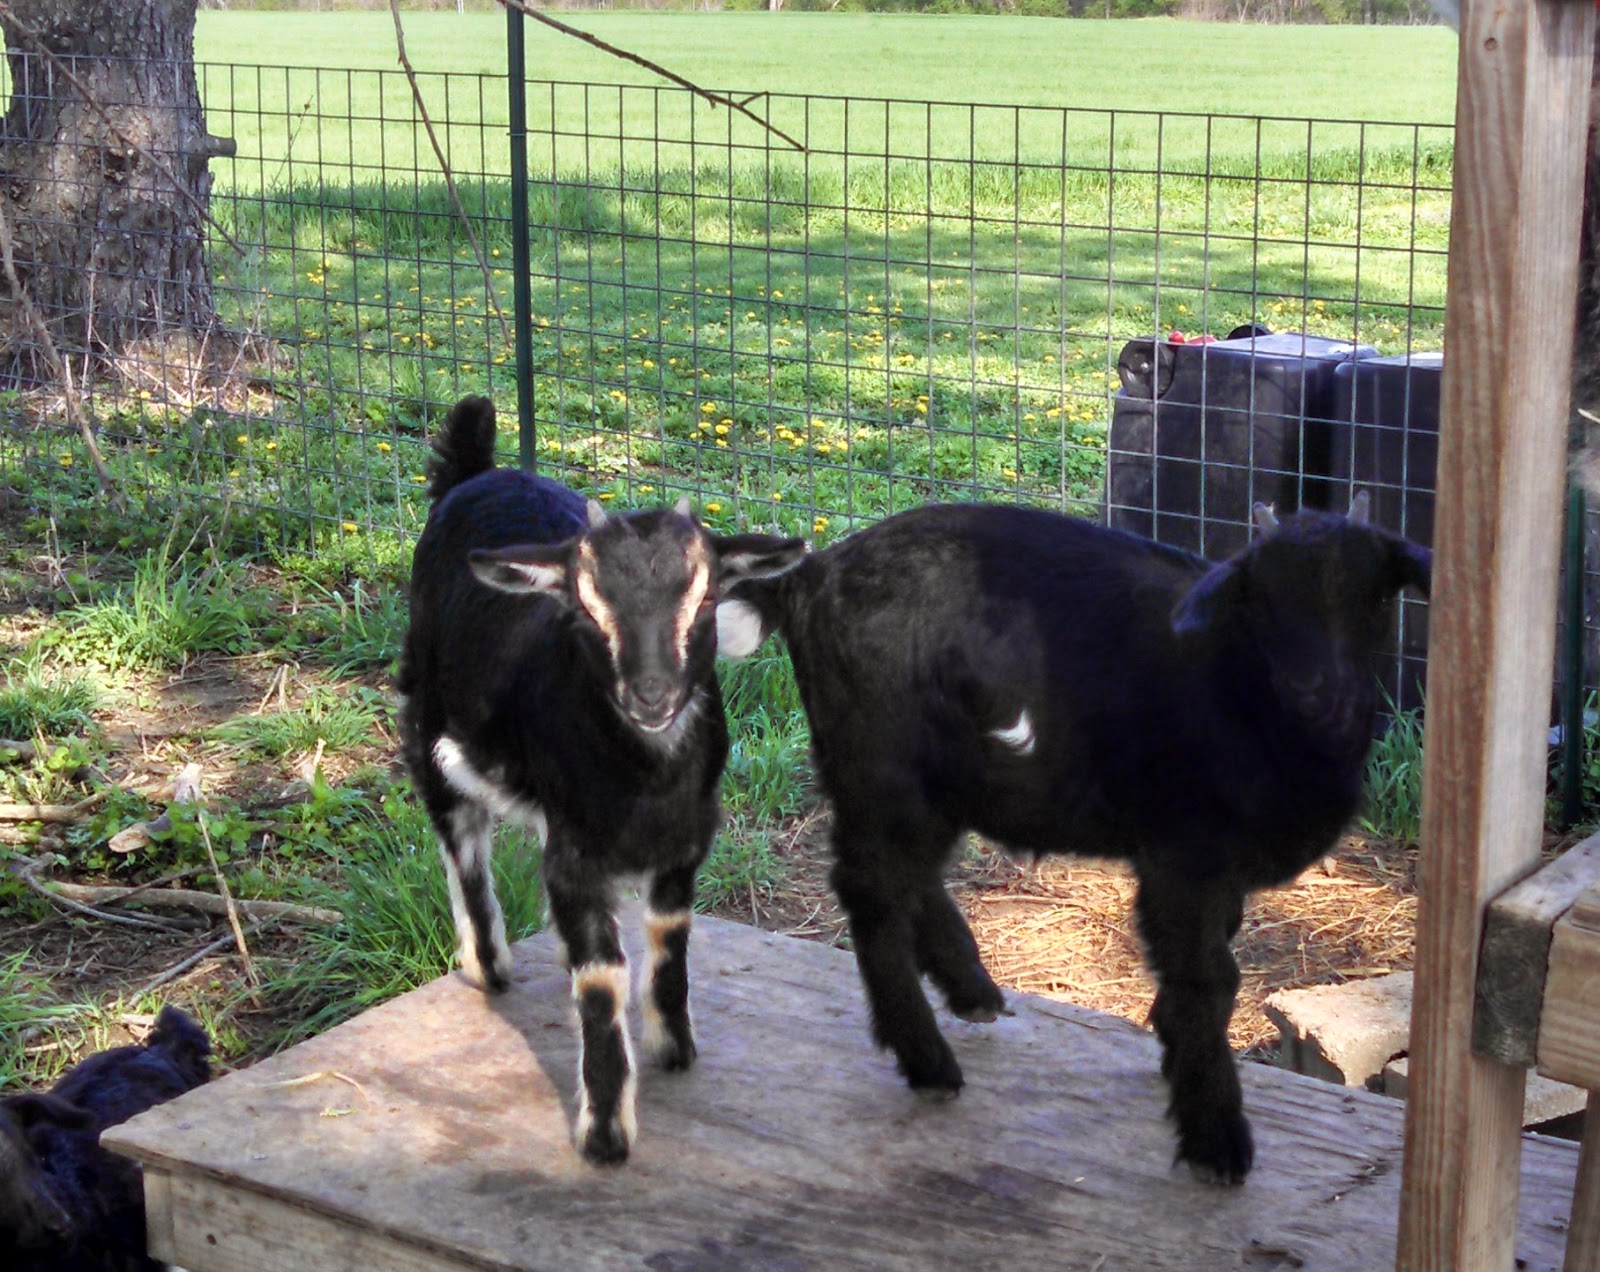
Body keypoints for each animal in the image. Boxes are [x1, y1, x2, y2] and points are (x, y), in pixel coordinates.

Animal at [397, 396, 806, 1166]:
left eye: (706, 600)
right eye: (587, 607)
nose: (651, 695)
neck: (646, 777)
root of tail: (477, 468)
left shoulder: (686, 840)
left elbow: (669, 939)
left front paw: (674, 1044)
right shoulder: (577, 855)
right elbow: (601, 978)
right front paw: (606, 1131)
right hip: (426, 714)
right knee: (458, 834)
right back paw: (488, 963)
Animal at [725, 497, 1430, 1184]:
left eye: (1378, 593)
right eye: (1258, 596)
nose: (1317, 692)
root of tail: (814, 575)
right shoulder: (1184, 858)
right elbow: (1208, 981)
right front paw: (1215, 1139)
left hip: (931, 785)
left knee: (909, 880)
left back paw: (972, 992)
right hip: (883, 766)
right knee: (872, 894)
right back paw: (928, 1061)